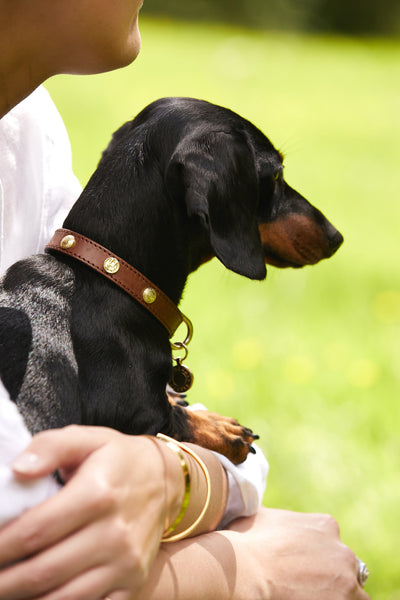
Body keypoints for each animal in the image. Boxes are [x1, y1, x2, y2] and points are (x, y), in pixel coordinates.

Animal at [0, 97, 344, 464]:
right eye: (276, 174)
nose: (336, 237)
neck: (109, 278)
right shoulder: (136, 416)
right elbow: (177, 420)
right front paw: (222, 429)